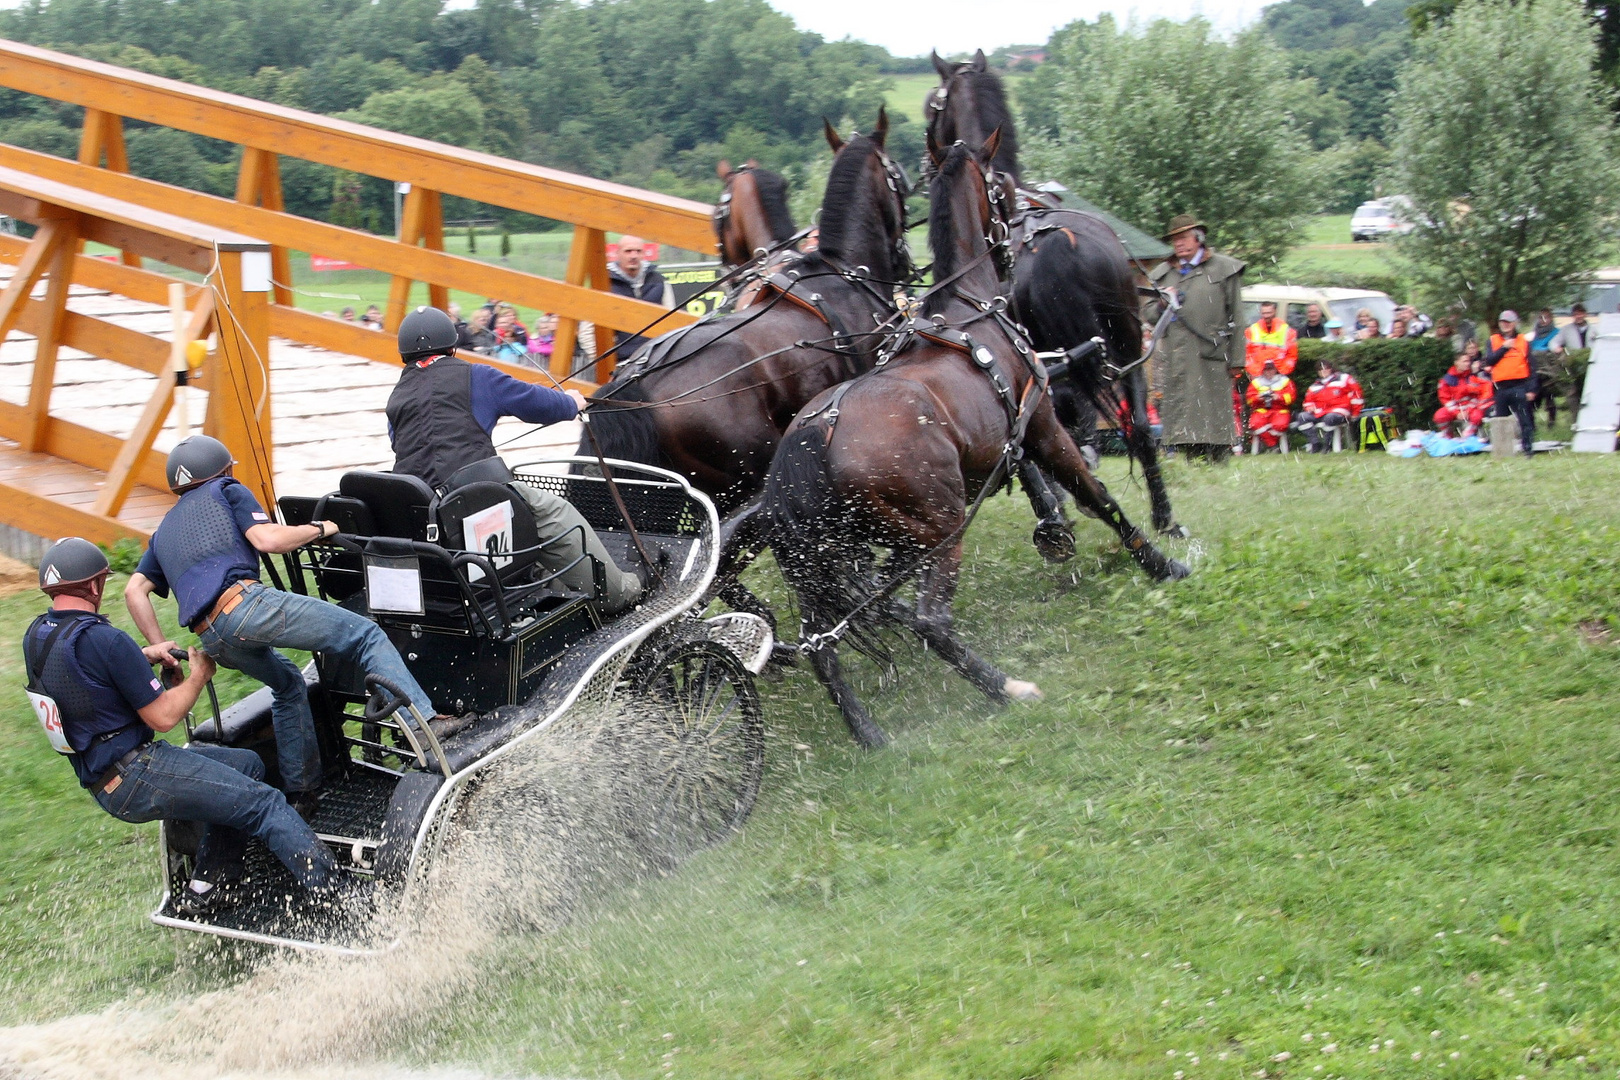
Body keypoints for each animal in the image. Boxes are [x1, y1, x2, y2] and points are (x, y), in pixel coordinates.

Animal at [579, 113, 913, 621]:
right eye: (901, 179)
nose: (906, 259)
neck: (843, 275)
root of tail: (634, 386)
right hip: (741, 481)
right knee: (723, 557)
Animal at [758, 131, 1192, 748]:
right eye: (999, 184)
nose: (1021, 226)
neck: (969, 307)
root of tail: (815, 434)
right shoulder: (1041, 426)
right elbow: (1097, 494)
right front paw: (1159, 562)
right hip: (942, 526)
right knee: (930, 621)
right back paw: (1006, 688)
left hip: (846, 554)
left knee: (826, 641)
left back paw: (869, 733)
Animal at [933, 50, 1185, 540]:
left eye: (933, 106)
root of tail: (1058, 242)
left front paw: (1054, 506)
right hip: (1126, 342)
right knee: (1138, 425)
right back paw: (1163, 517)